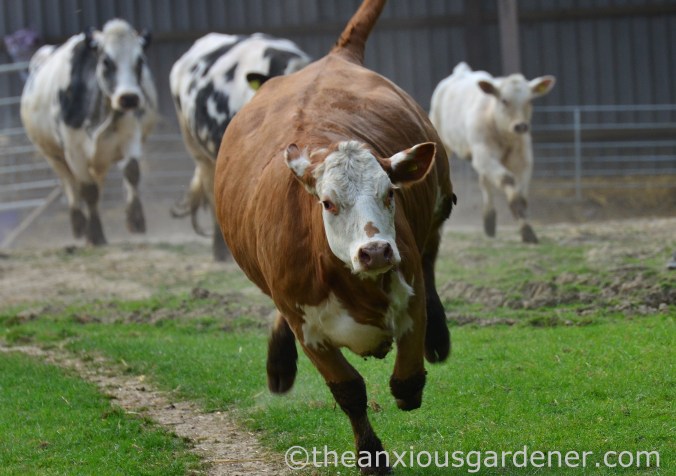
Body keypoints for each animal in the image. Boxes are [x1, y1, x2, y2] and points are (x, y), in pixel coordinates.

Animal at [20, 19, 157, 246]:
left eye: (139, 61)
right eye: (106, 61)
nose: (129, 98)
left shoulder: (130, 135)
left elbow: (131, 172)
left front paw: (136, 220)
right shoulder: (74, 152)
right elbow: (87, 190)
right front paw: (94, 234)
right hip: (53, 155)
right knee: (70, 183)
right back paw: (79, 226)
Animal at [214, 0, 455, 472]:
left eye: (389, 193)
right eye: (327, 202)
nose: (376, 251)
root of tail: (335, 57)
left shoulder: (410, 289)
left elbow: (407, 378)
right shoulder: (306, 325)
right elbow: (349, 391)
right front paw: (371, 457)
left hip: (438, 206)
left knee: (432, 252)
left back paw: (439, 335)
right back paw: (279, 364)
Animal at [430, 62, 555, 243]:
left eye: (530, 100)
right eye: (504, 100)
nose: (521, 126)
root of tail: (460, 72)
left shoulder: (523, 159)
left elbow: (521, 196)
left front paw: (527, 230)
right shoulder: (484, 153)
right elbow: (508, 181)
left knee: (485, 182)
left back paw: (489, 221)